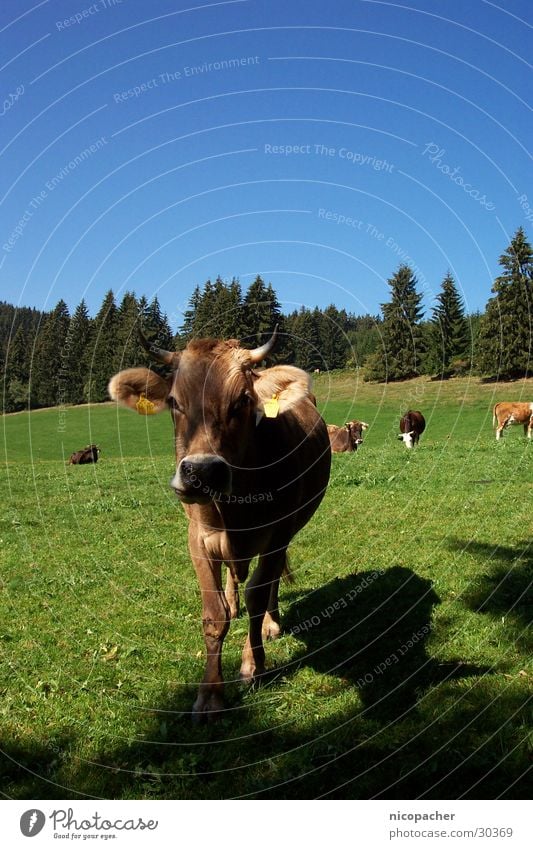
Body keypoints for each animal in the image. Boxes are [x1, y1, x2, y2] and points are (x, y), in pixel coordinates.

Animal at [106, 328, 330, 720]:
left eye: (242, 400)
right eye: (174, 402)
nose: (201, 472)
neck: (234, 508)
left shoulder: (277, 533)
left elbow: (258, 594)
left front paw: (254, 664)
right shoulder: (198, 538)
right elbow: (214, 615)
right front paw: (210, 693)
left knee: (270, 583)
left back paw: (271, 622)